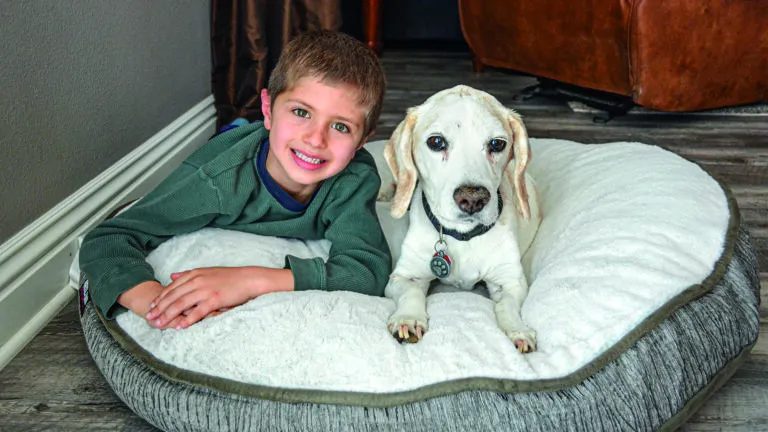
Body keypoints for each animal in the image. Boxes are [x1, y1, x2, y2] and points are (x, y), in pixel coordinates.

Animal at [380, 85, 544, 354]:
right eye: (436, 141)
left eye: (497, 144)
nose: (473, 199)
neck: (462, 237)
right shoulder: (403, 276)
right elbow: (410, 293)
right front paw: (408, 318)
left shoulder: (510, 282)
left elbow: (506, 306)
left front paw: (517, 330)